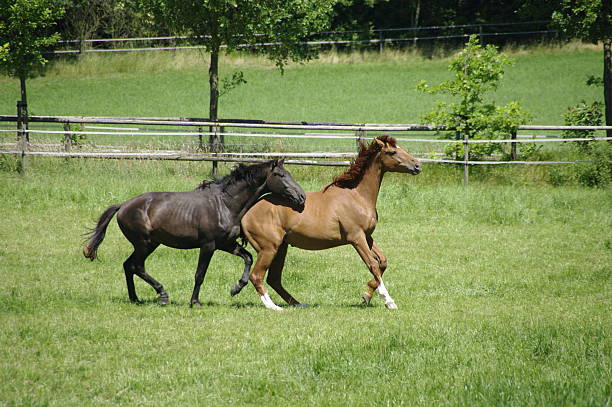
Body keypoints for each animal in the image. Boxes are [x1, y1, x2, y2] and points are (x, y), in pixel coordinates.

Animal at [82, 161, 306, 308]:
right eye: (281, 175)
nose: (302, 197)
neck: (225, 204)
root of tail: (122, 206)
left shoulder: (226, 244)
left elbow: (248, 258)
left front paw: (235, 288)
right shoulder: (208, 245)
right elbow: (200, 274)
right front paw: (195, 302)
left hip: (148, 244)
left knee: (128, 265)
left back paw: (135, 299)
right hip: (144, 243)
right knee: (136, 266)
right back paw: (162, 294)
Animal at [233, 135, 420, 310]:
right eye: (392, 152)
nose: (417, 165)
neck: (357, 196)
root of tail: (247, 213)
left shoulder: (367, 237)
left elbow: (383, 262)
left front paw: (366, 295)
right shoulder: (356, 237)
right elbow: (372, 265)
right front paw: (388, 301)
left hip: (280, 248)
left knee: (274, 279)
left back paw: (298, 304)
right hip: (268, 248)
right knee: (257, 276)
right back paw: (272, 306)